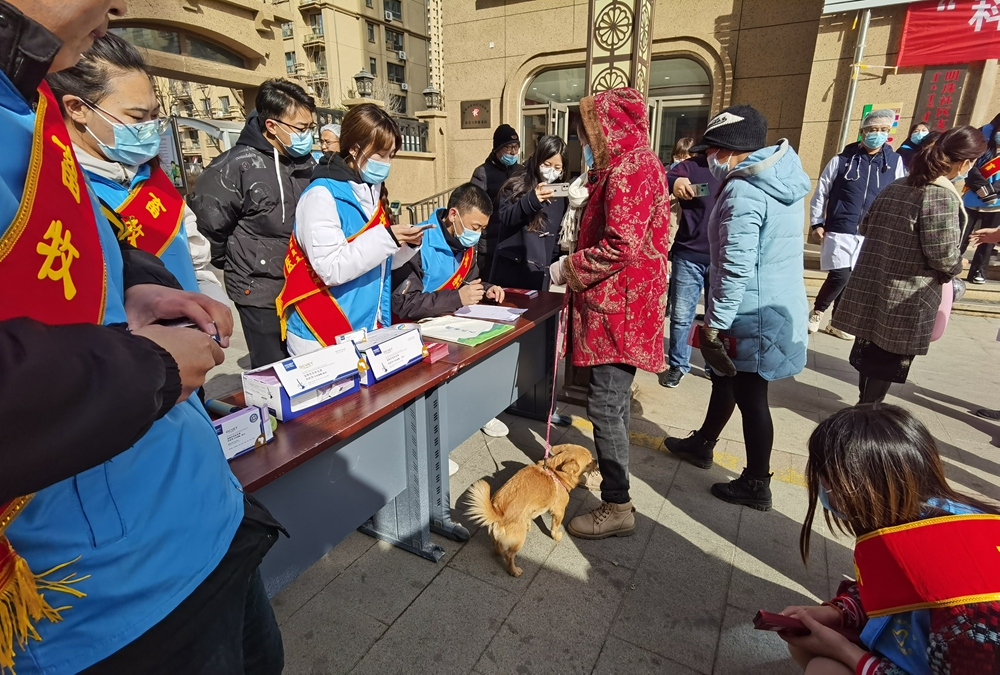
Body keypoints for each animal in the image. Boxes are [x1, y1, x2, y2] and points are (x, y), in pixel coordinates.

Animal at [466, 446, 596, 580]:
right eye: (589, 462)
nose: (596, 460)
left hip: (497, 537)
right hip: (518, 541)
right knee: (509, 556)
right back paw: (514, 571)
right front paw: (556, 536)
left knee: (498, 548)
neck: (555, 473)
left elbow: (529, 517)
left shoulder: (530, 509)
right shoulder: (559, 511)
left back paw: (500, 552)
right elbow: (555, 527)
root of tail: (498, 512)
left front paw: (528, 524)